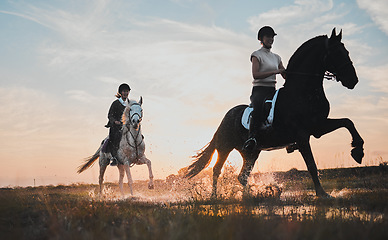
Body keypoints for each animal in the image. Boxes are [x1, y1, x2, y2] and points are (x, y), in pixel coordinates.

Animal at [186, 28, 366, 198]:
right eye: (337, 53)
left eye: (346, 52)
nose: (353, 80)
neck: (303, 92)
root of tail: (225, 117)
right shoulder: (302, 135)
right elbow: (311, 165)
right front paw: (321, 194)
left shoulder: (318, 126)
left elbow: (347, 121)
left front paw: (358, 151)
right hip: (225, 147)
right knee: (217, 170)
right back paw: (215, 197)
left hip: (251, 152)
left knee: (242, 176)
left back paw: (251, 195)